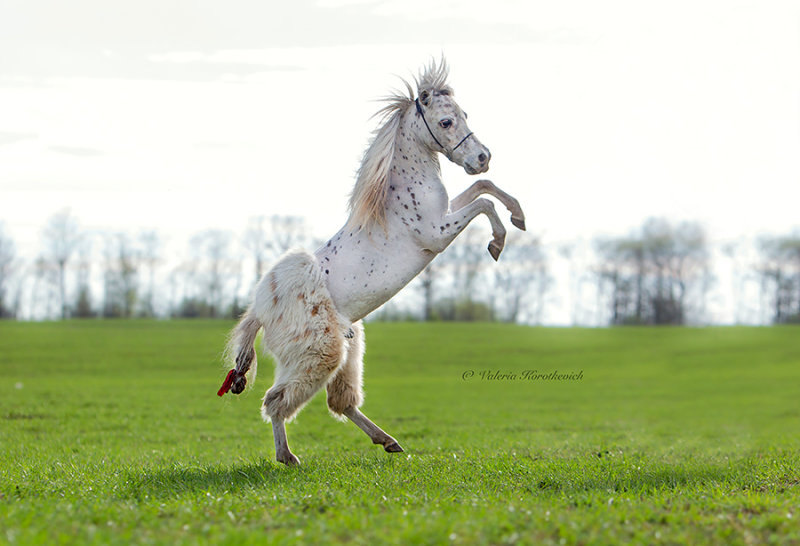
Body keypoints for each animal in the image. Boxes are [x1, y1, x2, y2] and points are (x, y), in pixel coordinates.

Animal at [219, 58, 528, 464]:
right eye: (446, 121)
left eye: (464, 114)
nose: (482, 158)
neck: (401, 193)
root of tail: (261, 310)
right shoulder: (437, 233)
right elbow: (484, 203)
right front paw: (498, 242)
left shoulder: (446, 213)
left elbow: (484, 189)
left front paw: (519, 216)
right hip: (318, 353)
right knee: (277, 400)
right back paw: (288, 457)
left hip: (348, 348)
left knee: (342, 402)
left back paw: (389, 441)